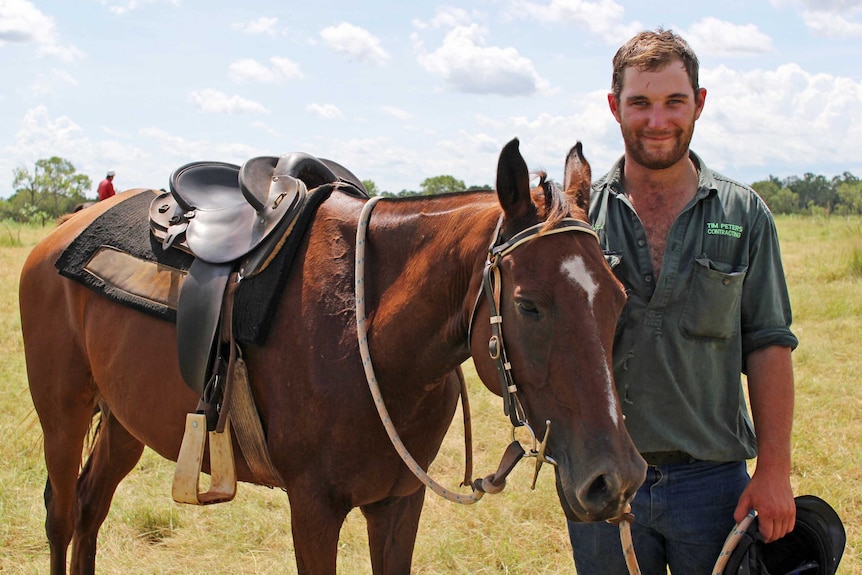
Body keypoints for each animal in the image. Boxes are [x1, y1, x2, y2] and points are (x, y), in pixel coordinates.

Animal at [20, 141, 648, 575]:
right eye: (528, 305)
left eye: (619, 297)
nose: (615, 479)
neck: (369, 333)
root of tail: (66, 225)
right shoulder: (314, 508)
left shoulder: (399, 502)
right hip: (63, 414)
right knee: (62, 514)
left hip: (126, 420)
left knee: (91, 506)